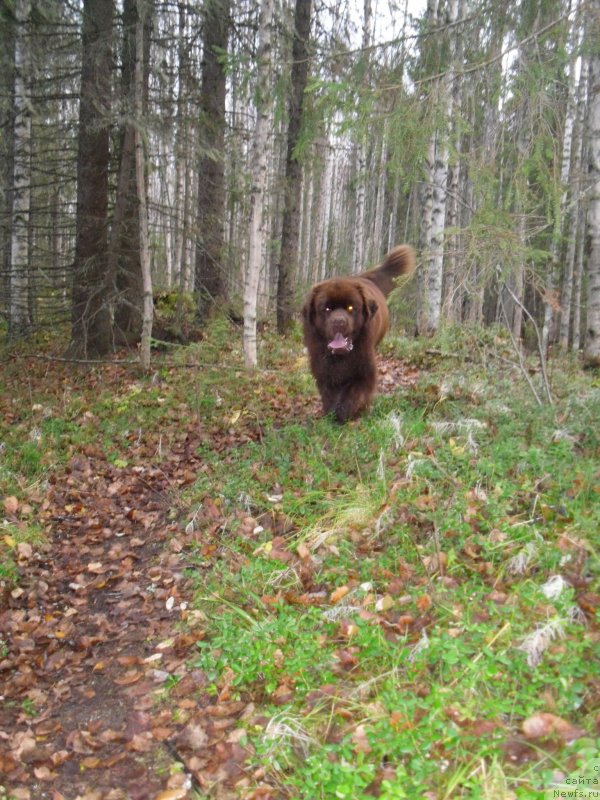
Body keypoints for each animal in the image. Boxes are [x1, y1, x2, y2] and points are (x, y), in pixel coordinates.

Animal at [302, 245, 414, 422]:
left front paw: (346, 413)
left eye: (350, 308)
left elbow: (355, 394)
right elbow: (329, 393)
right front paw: (330, 413)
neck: (341, 357)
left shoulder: (364, 369)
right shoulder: (322, 367)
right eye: (326, 308)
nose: (339, 322)